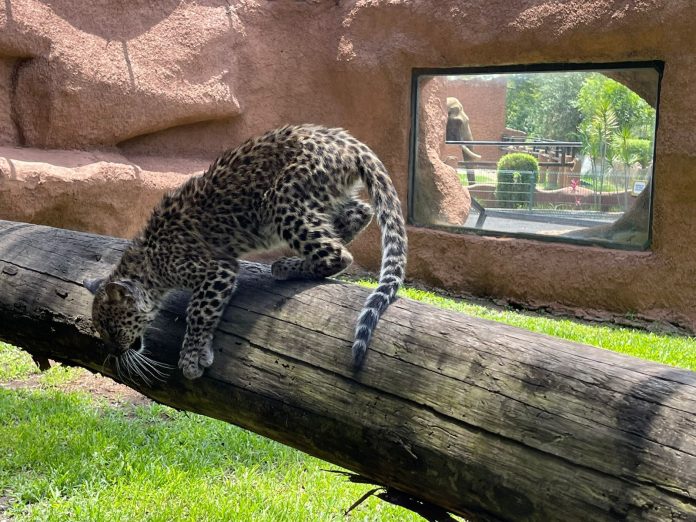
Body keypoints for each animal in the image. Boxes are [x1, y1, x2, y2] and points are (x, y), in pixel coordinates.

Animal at [84, 124, 407, 381]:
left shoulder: (216, 269)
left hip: (283, 200)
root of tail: (344, 138)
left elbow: (198, 311)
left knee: (338, 254)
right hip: (323, 196)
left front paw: (191, 358)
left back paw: (287, 266)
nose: (113, 352)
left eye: (111, 327)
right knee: (360, 212)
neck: (147, 265)